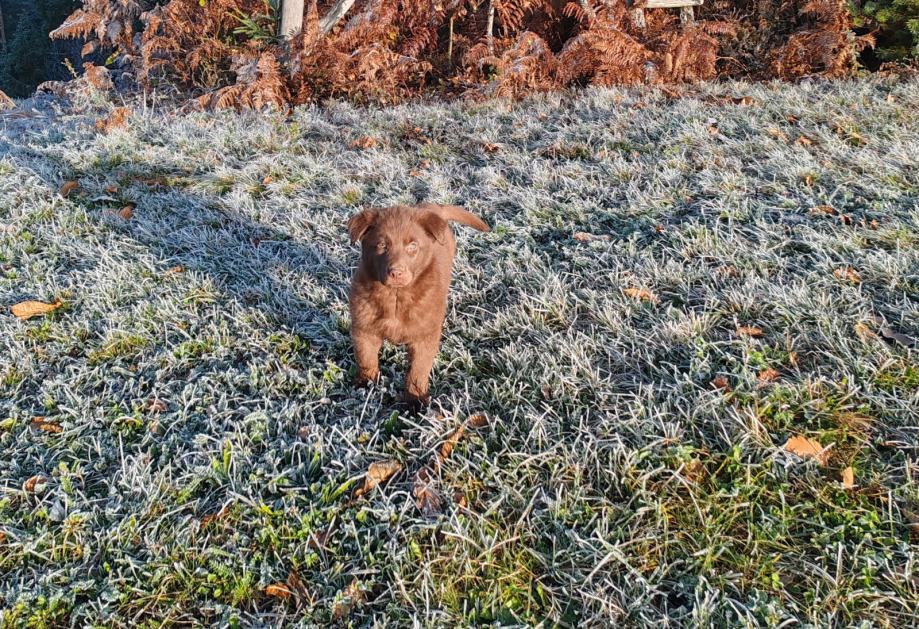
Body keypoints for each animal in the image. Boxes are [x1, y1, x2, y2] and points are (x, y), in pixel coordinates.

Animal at [346, 201, 488, 408]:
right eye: (381, 244)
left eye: (413, 246)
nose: (396, 272)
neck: (396, 297)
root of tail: (433, 207)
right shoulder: (364, 329)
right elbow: (366, 358)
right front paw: (365, 385)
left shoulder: (424, 337)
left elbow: (417, 370)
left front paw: (415, 400)